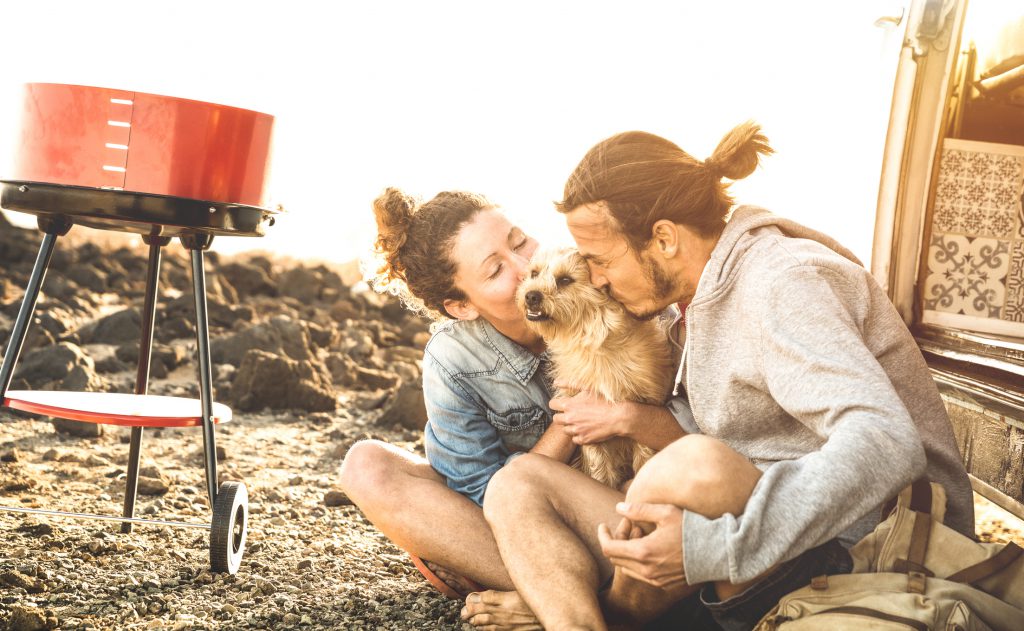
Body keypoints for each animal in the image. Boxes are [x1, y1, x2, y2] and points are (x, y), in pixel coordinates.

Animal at [516, 246, 675, 487]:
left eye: (565, 280)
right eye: (534, 273)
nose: (531, 295)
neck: (593, 342)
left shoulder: (646, 408)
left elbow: (644, 456)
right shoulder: (582, 422)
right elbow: (599, 467)